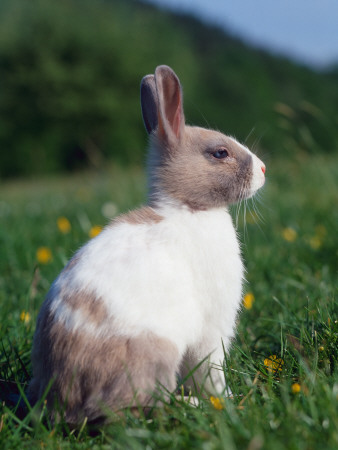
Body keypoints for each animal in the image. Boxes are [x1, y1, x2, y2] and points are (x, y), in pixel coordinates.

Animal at [28, 64, 266, 426]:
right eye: (220, 153)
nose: (264, 170)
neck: (187, 209)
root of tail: (66, 402)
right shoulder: (212, 331)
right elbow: (211, 372)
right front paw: (225, 399)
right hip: (155, 356)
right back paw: (189, 404)